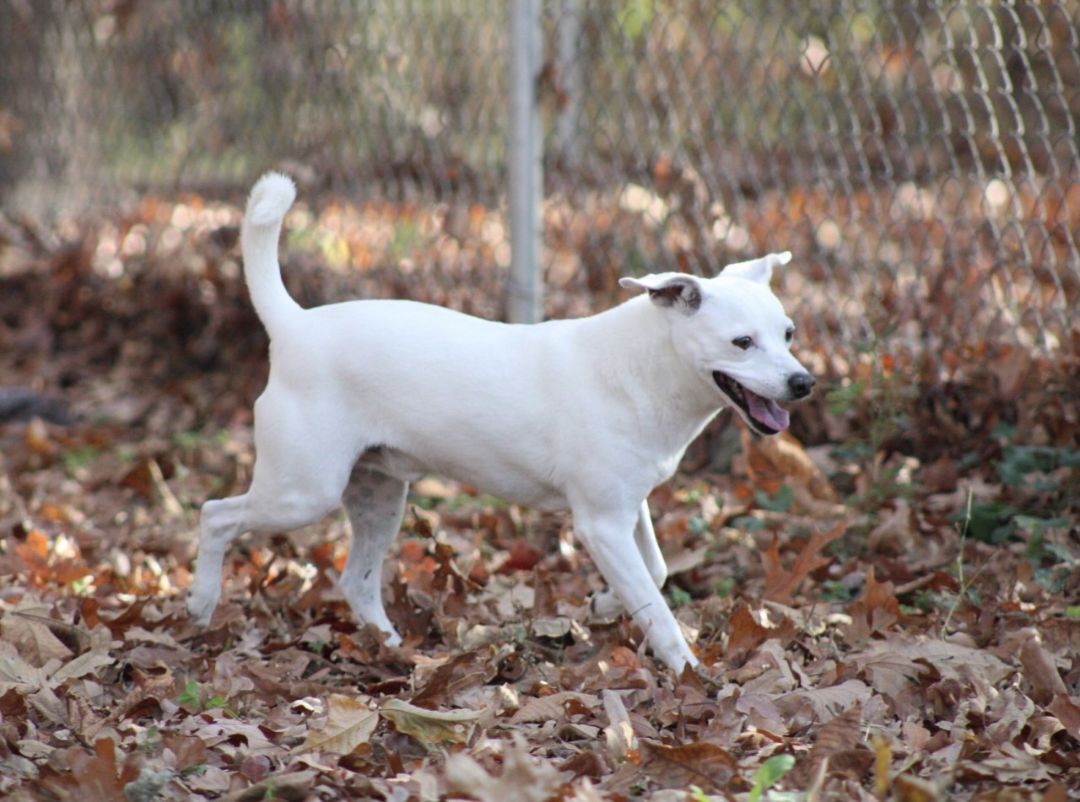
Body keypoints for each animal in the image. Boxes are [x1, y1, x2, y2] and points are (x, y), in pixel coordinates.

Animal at [187, 173, 812, 669]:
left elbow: (654, 574)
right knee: (217, 514)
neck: (644, 366)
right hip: (303, 492)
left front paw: (602, 604)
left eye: (788, 333)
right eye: (742, 343)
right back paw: (200, 604)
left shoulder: (627, 509)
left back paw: (394, 651)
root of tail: (292, 325)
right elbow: (656, 609)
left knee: (356, 581)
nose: (803, 383)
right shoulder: (601, 523)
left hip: (378, 496)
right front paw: (688, 673)